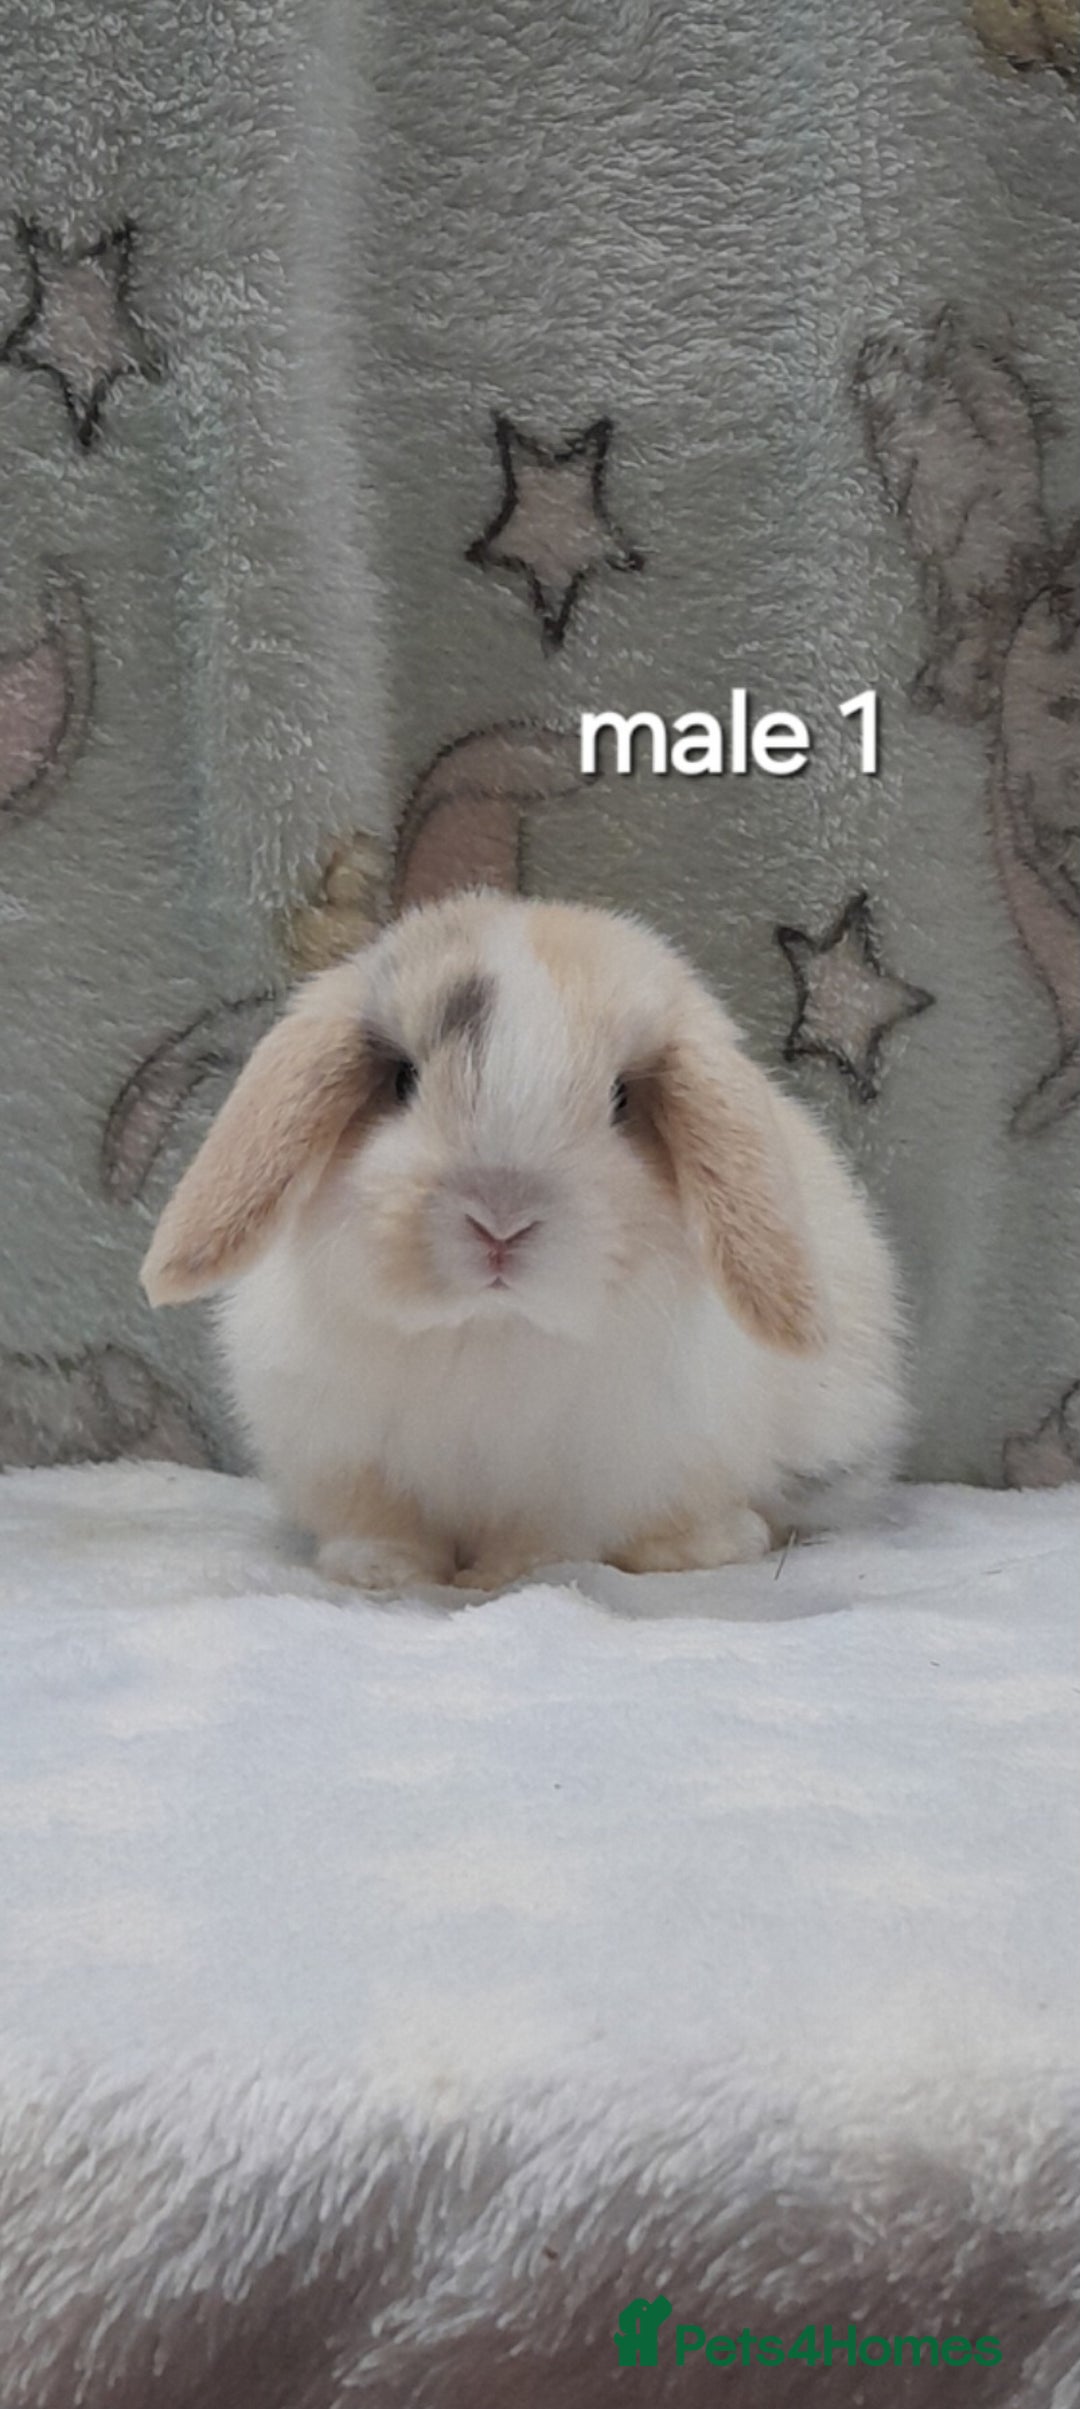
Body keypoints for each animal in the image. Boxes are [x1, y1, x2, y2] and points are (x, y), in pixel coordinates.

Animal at [141, 892, 906, 1592]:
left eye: (621, 1100)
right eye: (403, 1080)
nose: (501, 1220)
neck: (485, 1325)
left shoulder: (579, 1479)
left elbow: (544, 1536)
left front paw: (508, 1576)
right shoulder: (349, 1456)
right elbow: (382, 1520)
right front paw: (381, 1570)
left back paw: (710, 1542)